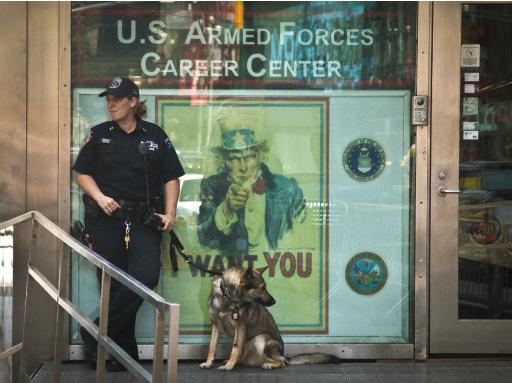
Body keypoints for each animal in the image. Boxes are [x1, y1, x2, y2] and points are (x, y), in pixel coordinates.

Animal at [200, 266, 340, 370]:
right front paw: (209, 362)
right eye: (262, 287)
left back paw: (269, 365)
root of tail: (283, 354)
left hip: (261, 339)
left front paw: (229, 366)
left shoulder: (240, 326)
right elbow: (212, 346)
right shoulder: (215, 326)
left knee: (282, 363)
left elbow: (235, 347)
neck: (227, 297)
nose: (274, 301)